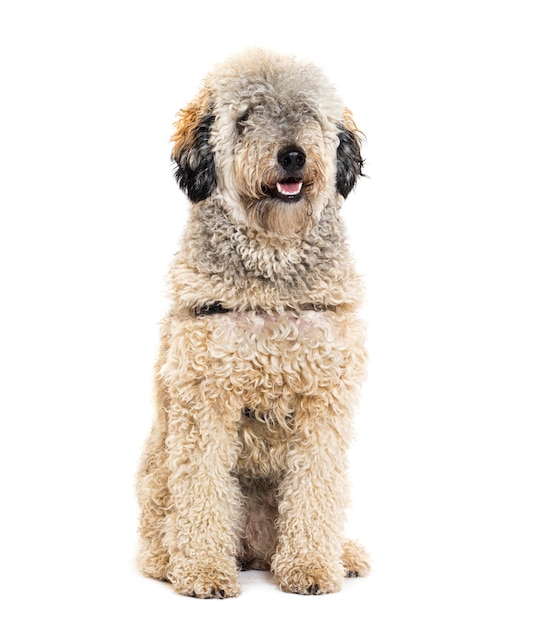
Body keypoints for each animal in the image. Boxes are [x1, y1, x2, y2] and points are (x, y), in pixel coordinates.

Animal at [136, 47, 366, 596]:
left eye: (308, 114)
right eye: (246, 119)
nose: (292, 155)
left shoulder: (325, 401)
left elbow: (317, 488)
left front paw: (311, 567)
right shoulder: (203, 401)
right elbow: (201, 489)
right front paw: (202, 571)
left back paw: (340, 554)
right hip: (157, 483)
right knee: (161, 537)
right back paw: (176, 562)